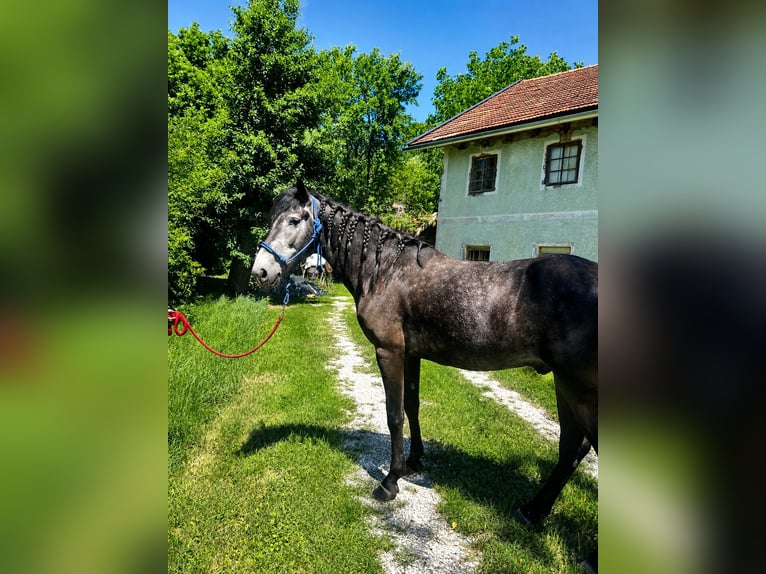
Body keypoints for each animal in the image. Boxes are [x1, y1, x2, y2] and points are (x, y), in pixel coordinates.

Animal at [252, 181, 598, 570]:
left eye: (295, 220)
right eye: (271, 217)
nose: (261, 272)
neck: (385, 271)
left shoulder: (389, 352)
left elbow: (394, 415)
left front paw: (390, 481)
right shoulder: (412, 355)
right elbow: (412, 406)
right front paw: (413, 461)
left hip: (581, 388)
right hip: (565, 385)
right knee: (572, 449)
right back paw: (534, 510)